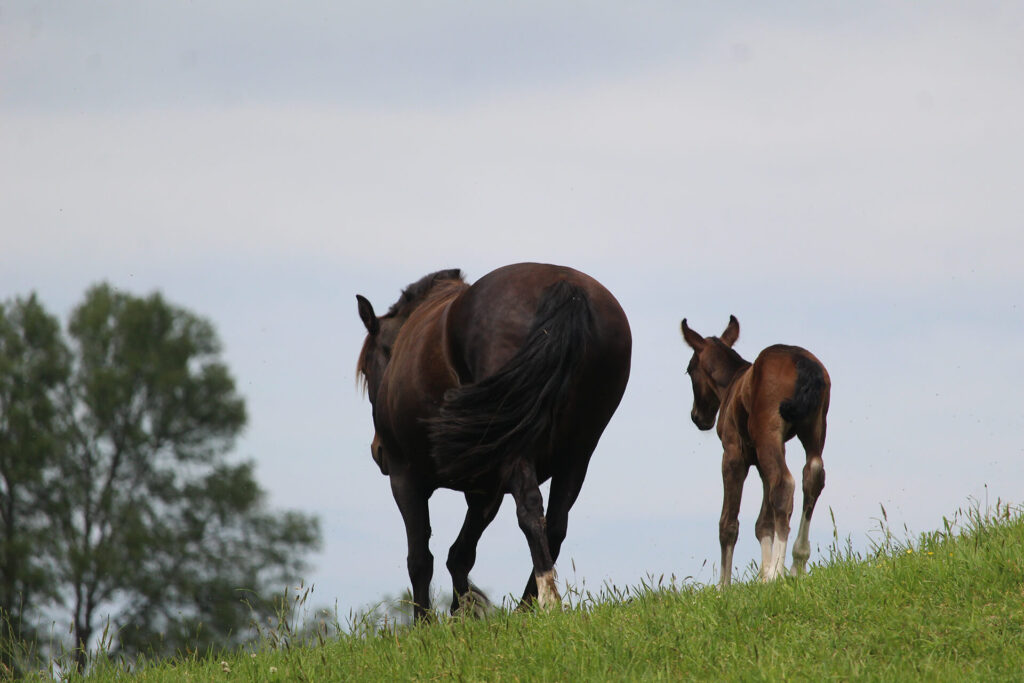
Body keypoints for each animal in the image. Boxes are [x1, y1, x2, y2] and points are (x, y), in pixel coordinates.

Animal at [358, 262, 630, 618]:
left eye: (367, 369)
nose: (378, 451)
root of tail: (566, 286)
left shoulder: (406, 479)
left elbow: (420, 559)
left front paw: (424, 624)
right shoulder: (486, 490)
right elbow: (461, 554)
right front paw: (463, 613)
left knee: (530, 511)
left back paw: (547, 602)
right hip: (577, 453)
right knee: (554, 524)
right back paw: (526, 610)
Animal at [679, 315, 831, 589]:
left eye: (689, 369)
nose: (698, 417)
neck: (733, 385)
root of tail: (803, 364)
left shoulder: (734, 454)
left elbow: (729, 522)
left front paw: (724, 586)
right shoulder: (761, 457)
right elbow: (763, 522)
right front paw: (762, 573)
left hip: (769, 434)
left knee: (784, 484)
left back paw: (778, 573)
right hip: (814, 429)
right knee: (812, 475)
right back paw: (797, 563)